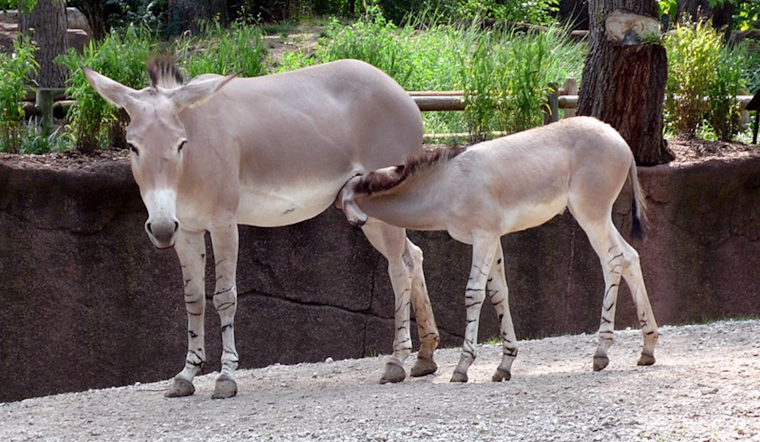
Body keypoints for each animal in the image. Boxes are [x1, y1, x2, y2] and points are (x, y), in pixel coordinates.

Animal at [83, 57, 441, 398]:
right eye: (133, 146)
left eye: (180, 144)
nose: (159, 229)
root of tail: (402, 93)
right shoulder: (186, 229)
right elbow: (193, 299)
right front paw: (186, 375)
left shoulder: (224, 223)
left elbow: (224, 296)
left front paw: (226, 378)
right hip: (370, 210)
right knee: (414, 256)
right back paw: (425, 358)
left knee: (399, 268)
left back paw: (396, 362)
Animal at [337, 116, 659, 382]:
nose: (358, 225)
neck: (448, 184)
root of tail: (620, 141)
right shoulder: (493, 239)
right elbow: (498, 293)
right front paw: (504, 364)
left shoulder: (483, 237)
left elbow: (473, 293)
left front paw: (462, 367)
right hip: (600, 216)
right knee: (630, 257)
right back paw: (647, 348)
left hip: (590, 214)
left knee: (612, 260)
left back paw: (601, 353)